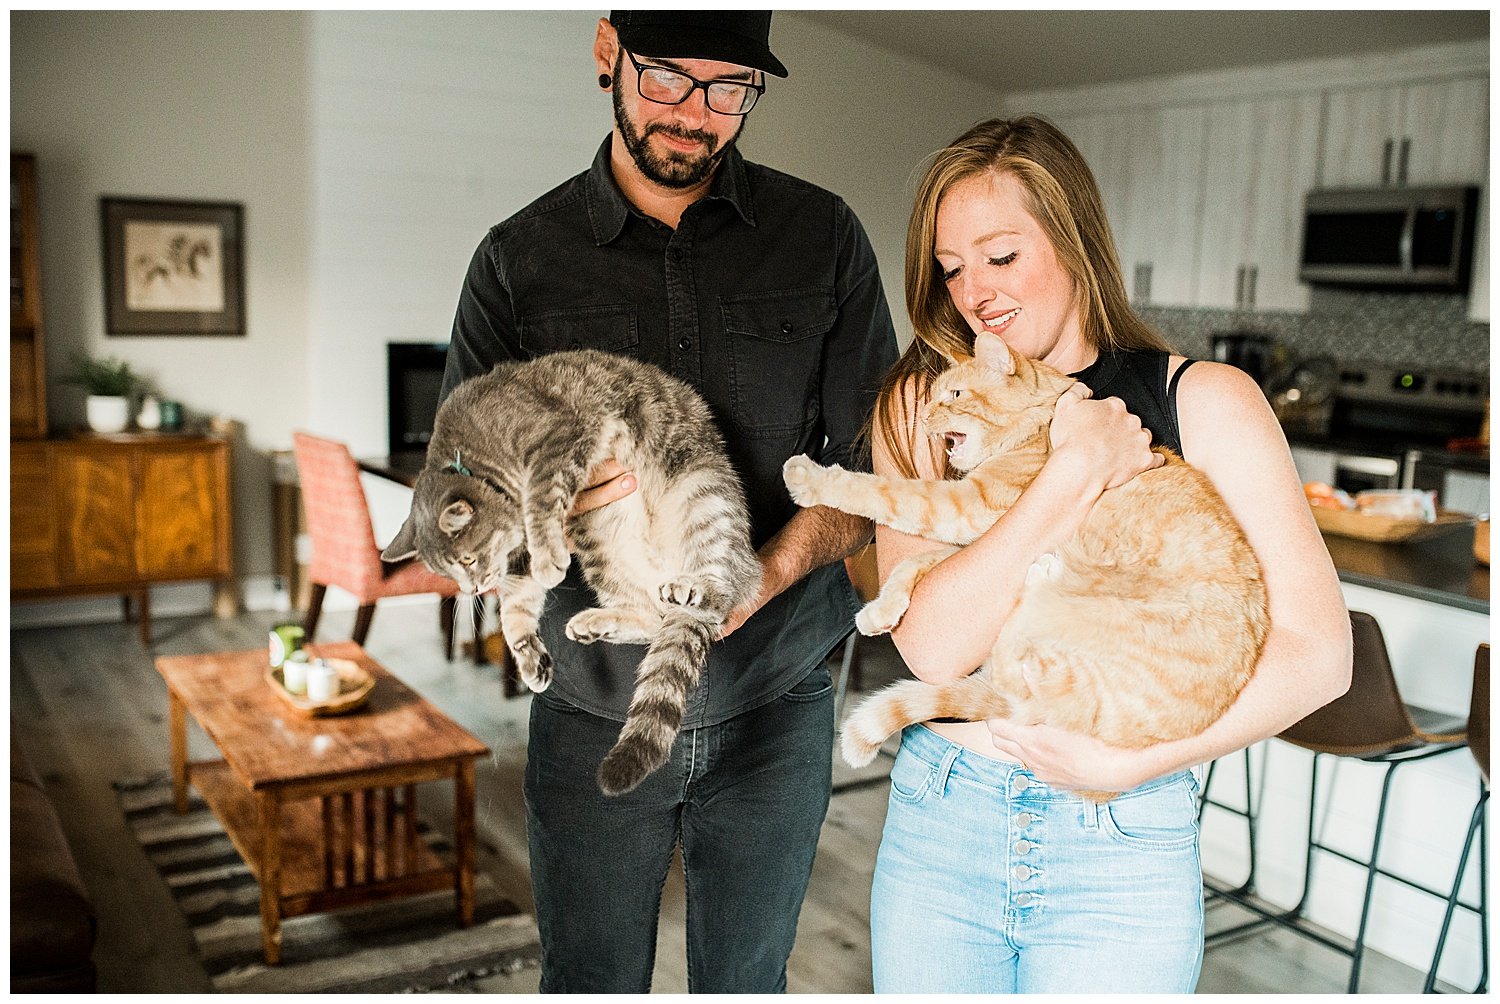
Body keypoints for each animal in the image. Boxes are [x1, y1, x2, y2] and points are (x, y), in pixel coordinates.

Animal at [387, 348, 762, 792]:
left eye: (466, 561)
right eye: (449, 573)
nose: (474, 590)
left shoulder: (559, 438)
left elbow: (541, 499)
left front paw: (549, 557)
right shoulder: (517, 559)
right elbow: (515, 608)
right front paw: (528, 655)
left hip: (703, 499)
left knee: (723, 595)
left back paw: (693, 588)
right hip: (599, 541)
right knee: (653, 617)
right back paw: (598, 622)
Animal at [786, 330, 1266, 792]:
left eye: (955, 395)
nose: (922, 420)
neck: (1040, 425)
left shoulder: (968, 506)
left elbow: (882, 492)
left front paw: (811, 479)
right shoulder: (978, 537)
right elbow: (915, 561)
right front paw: (881, 611)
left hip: (1064, 612)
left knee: (1012, 667)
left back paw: (1042, 574)